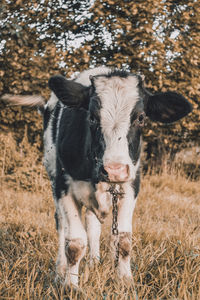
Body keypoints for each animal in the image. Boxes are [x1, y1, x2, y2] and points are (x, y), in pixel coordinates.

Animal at [3, 67, 193, 288]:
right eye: (92, 117)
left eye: (141, 117)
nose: (114, 170)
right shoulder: (63, 185)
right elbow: (75, 243)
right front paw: (70, 286)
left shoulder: (131, 186)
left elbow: (124, 240)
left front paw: (125, 282)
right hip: (52, 175)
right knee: (61, 224)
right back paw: (60, 270)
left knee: (92, 223)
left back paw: (94, 262)